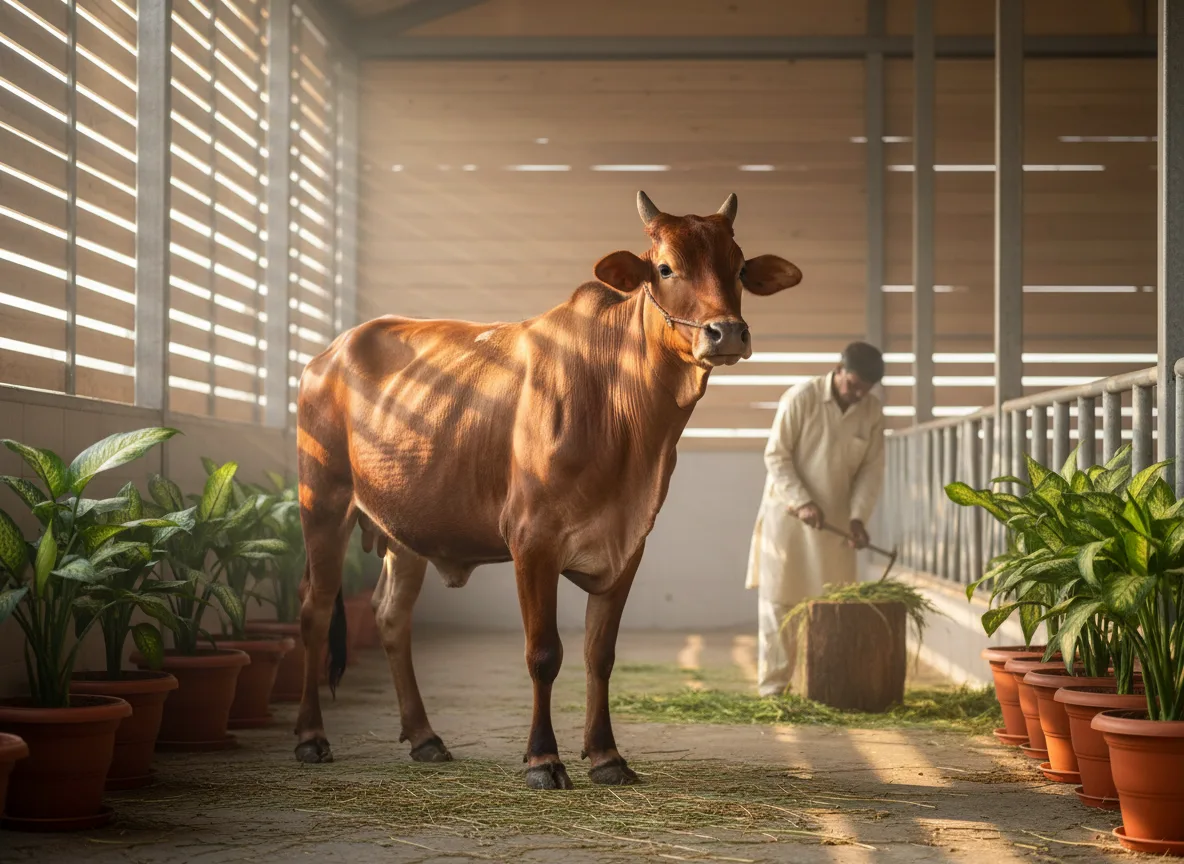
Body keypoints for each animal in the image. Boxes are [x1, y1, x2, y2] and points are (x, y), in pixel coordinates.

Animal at [293, 191, 802, 788]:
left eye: (740, 267)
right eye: (665, 267)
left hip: (405, 530)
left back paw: (425, 737)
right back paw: (311, 737)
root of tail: (330, 352)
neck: (626, 424)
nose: (727, 333)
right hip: (323, 503)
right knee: (315, 610)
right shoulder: (531, 541)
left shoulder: (628, 546)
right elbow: (544, 653)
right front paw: (543, 758)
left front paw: (606, 755)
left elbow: (599, 654)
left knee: (392, 616)